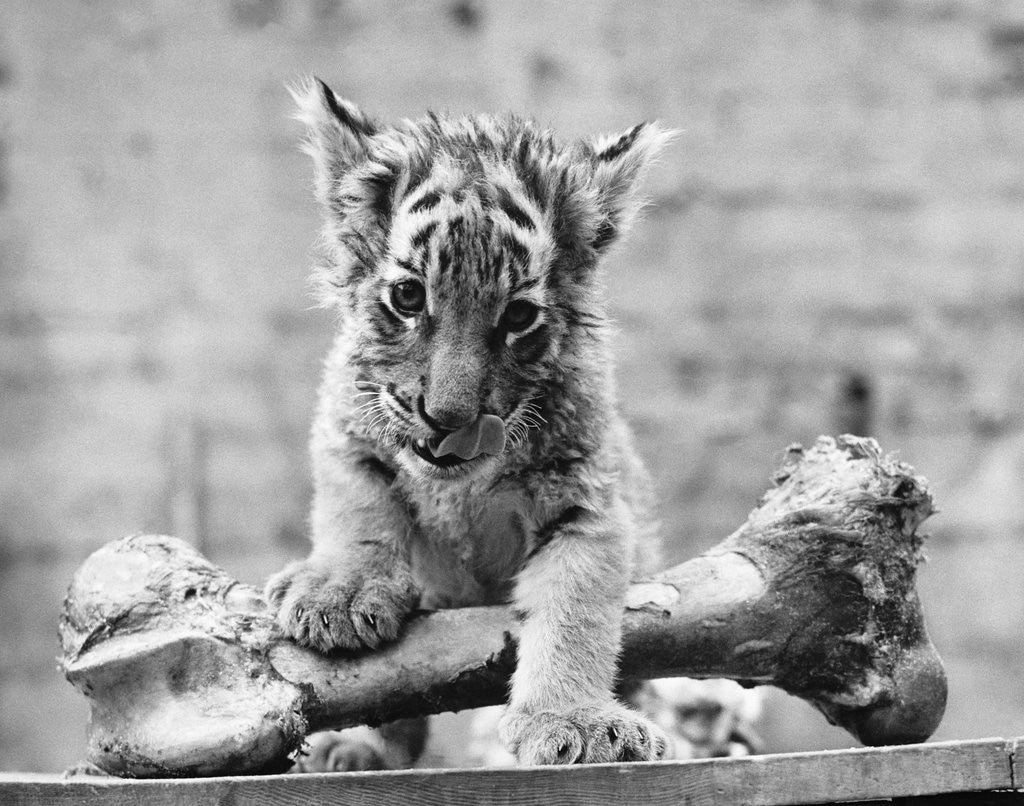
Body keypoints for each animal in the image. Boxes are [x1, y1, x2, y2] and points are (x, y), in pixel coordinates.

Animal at [267, 77, 674, 766]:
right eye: (408, 296)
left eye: (518, 317)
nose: (446, 418)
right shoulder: (348, 434)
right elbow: (358, 508)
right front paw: (340, 593)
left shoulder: (587, 503)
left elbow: (574, 613)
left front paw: (575, 720)